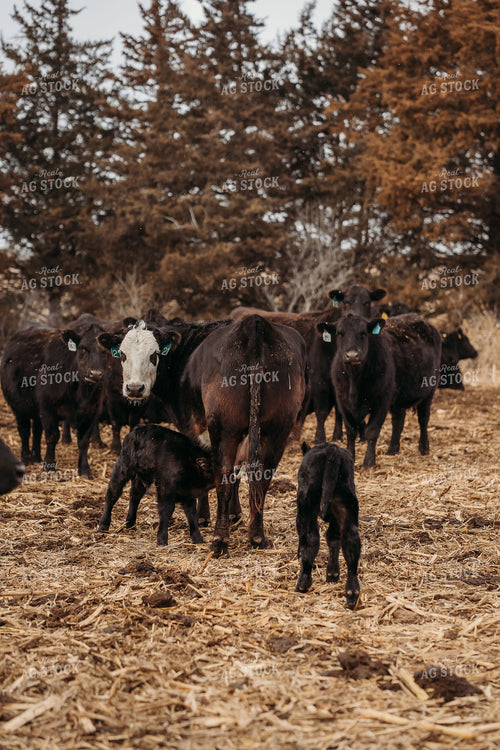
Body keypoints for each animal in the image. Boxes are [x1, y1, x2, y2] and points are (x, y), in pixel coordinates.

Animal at [99, 314, 307, 554]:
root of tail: (254, 325)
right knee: (262, 475)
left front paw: (203, 517)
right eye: (122, 354)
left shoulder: (192, 427)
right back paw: (257, 537)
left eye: (154, 355)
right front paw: (235, 514)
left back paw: (220, 539)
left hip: (225, 429)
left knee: (223, 473)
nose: (134, 388)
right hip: (276, 431)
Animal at [295, 441, 361, 608]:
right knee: (351, 544)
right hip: (348, 510)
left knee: (310, 540)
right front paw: (332, 574)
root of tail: (332, 449)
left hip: (306, 505)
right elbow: (333, 539)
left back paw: (302, 584)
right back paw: (352, 594)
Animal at [317, 313, 442, 468]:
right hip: (398, 397)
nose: (352, 355)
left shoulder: (382, 400)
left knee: (423, 419)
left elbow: (372, 431)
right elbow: (351, 431)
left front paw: (369, 462)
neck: (354, 381)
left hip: (429, 391)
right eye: (340, 333)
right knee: (398, 421)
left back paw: (424, 448)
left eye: (363, 333)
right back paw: (392, 449)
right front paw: (350, 457)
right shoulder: (342, 401)